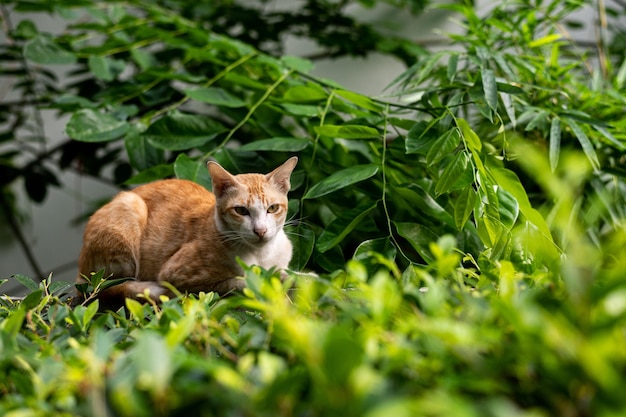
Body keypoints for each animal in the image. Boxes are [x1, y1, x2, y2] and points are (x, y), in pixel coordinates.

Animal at [75, 154, 298, 308]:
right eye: (241, 211)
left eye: (272, 208)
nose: (260, 230)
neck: (261, 255)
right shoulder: (180, 277)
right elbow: (238, 282)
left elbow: (289, 274)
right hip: (130, 208)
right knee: (104, 289)